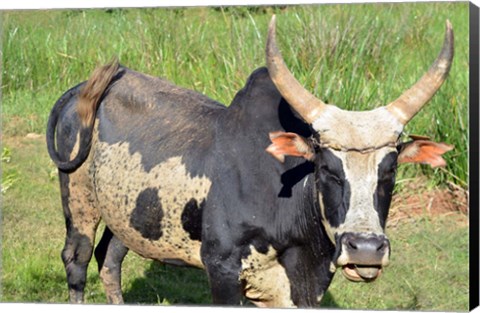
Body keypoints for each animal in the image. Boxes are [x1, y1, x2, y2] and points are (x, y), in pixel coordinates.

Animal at [47, 15, 454, 306]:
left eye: (391, 169)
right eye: (326, 168)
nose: (366, 249)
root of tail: (81, 89)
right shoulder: (223, 270)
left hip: (128, 215)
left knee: (110, 259)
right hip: (79, 200)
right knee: (78, 259)